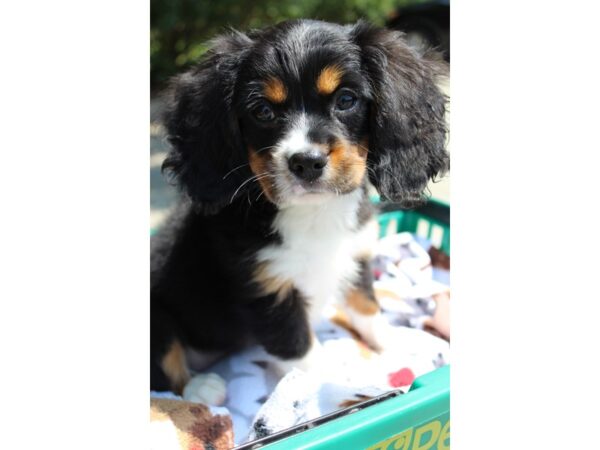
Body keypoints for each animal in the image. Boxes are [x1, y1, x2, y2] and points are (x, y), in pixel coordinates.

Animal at [152, 20, 448, 394]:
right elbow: (303, 351)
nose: (306, 162)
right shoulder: (268, 291)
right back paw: (202, 388)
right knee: (165, 371)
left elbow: (366, 306)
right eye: (263, 111)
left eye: (346, 100)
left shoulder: (356, 255)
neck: (314, 212)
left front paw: (394, 344)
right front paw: (340, 385)